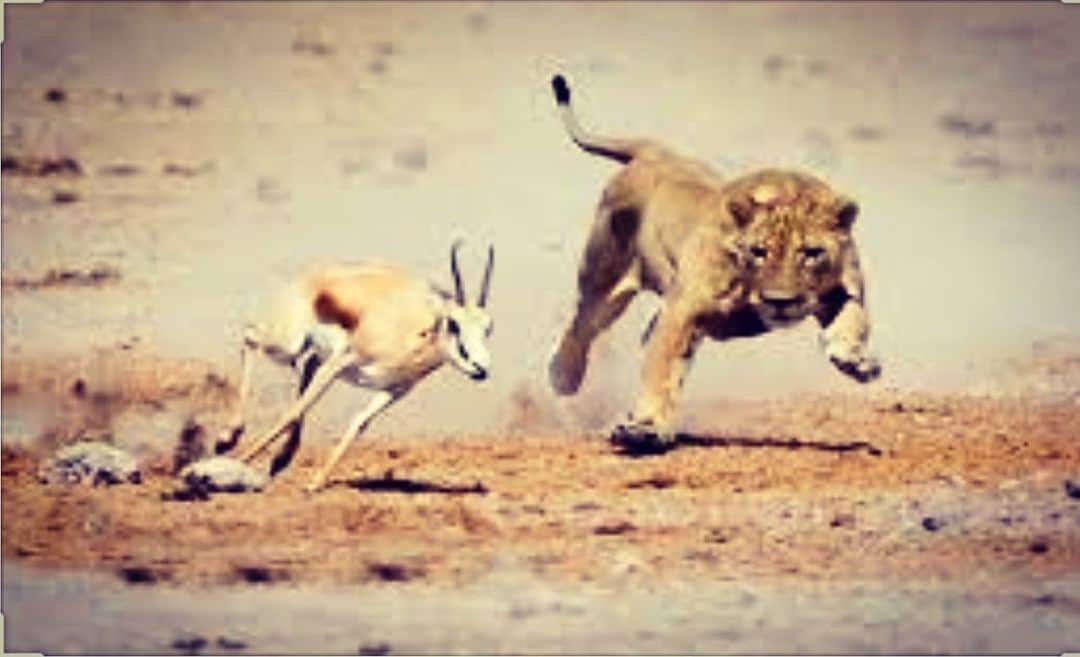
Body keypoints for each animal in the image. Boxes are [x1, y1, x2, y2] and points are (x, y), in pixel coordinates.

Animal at [215, 241, 495, 492]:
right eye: (453, 324)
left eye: (488, 327)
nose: (481, 369)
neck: (411, 330)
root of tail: (313, 274)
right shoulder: (342, 362)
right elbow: (293, 411)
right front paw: (238, 461)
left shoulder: (393, 390)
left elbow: (358, 423)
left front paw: (315, 482)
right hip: (289, 345)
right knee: (250, 337)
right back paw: (226, 440)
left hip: (315, 354)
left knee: (306, 364)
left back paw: (278, 459)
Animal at [547, 74, 881, 449]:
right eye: (758, 252)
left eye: (811, 253)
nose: (780, 302)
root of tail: (654, 152)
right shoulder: (684, 308)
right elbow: (660, 367)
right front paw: (644, 427)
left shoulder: (846, 286)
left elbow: (854, 317)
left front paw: (855, 359)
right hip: (605, 281)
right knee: (583, 325)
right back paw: (562, 375)